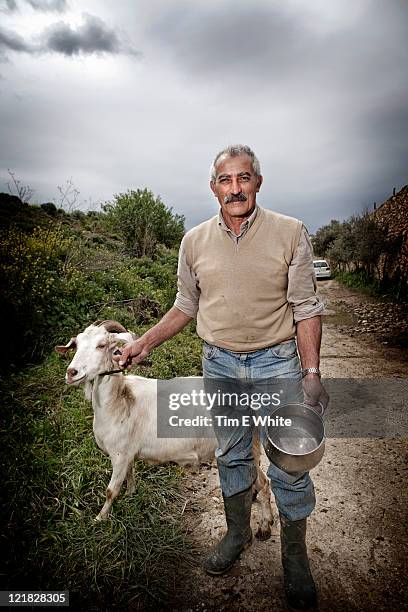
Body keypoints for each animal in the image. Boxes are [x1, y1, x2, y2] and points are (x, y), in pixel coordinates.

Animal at [53, 320, 270, 536]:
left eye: (101, 345)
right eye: (76, 345)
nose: (71, 373)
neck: (119, 401)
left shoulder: (120, 454)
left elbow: (110, 491)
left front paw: (99, 519)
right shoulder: (128, 454)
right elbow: (130, 475)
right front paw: (131, 495)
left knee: (265, 482)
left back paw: (265, 527)